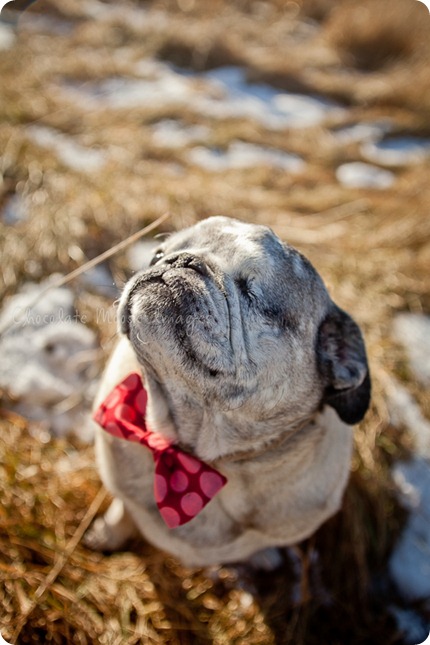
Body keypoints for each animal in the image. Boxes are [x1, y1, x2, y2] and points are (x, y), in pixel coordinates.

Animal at [85, 215, 372, 564]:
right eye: (157, 255)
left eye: (250, 292)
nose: (178, 261)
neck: (194, 452)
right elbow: (121, 512)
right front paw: (107, 535)